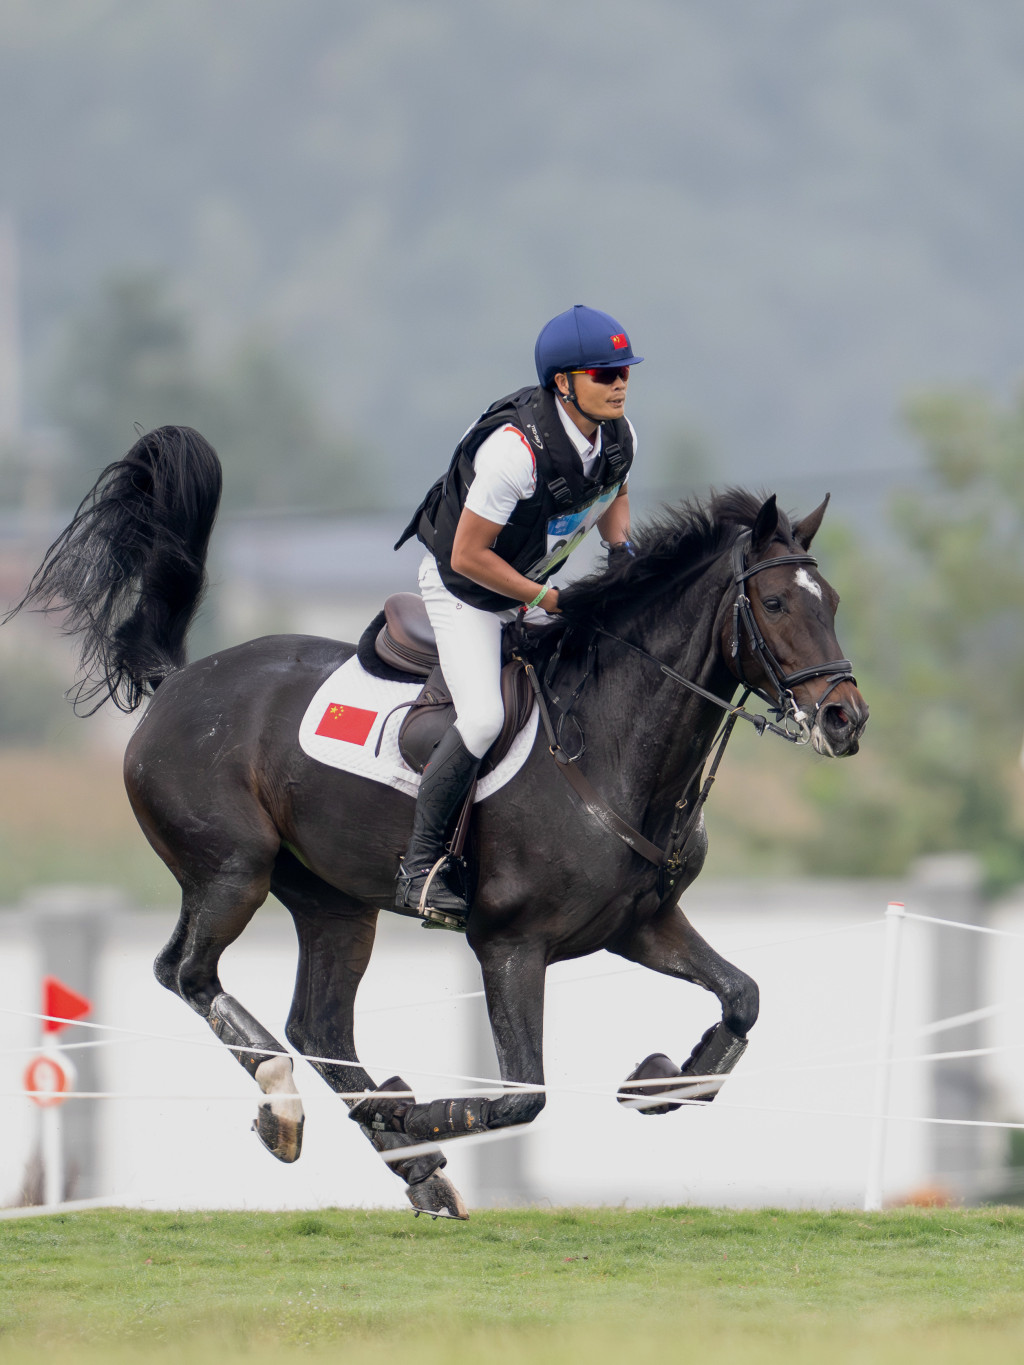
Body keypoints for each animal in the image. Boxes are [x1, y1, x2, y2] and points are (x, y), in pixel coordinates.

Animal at [12, 425, 868, 1217]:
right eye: (776, 603)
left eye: (831, 603)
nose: (845, 718)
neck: (609, 745)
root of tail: (179, 681)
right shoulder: (509, 943)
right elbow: (523, 1093)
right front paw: (424, 1112)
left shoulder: (642, 924)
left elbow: (742, 995)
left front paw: (662, 1080)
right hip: (232, 871)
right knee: (189, 973)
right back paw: (299, 1106)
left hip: (333, 902)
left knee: (319, 1026)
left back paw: (412, 1165)